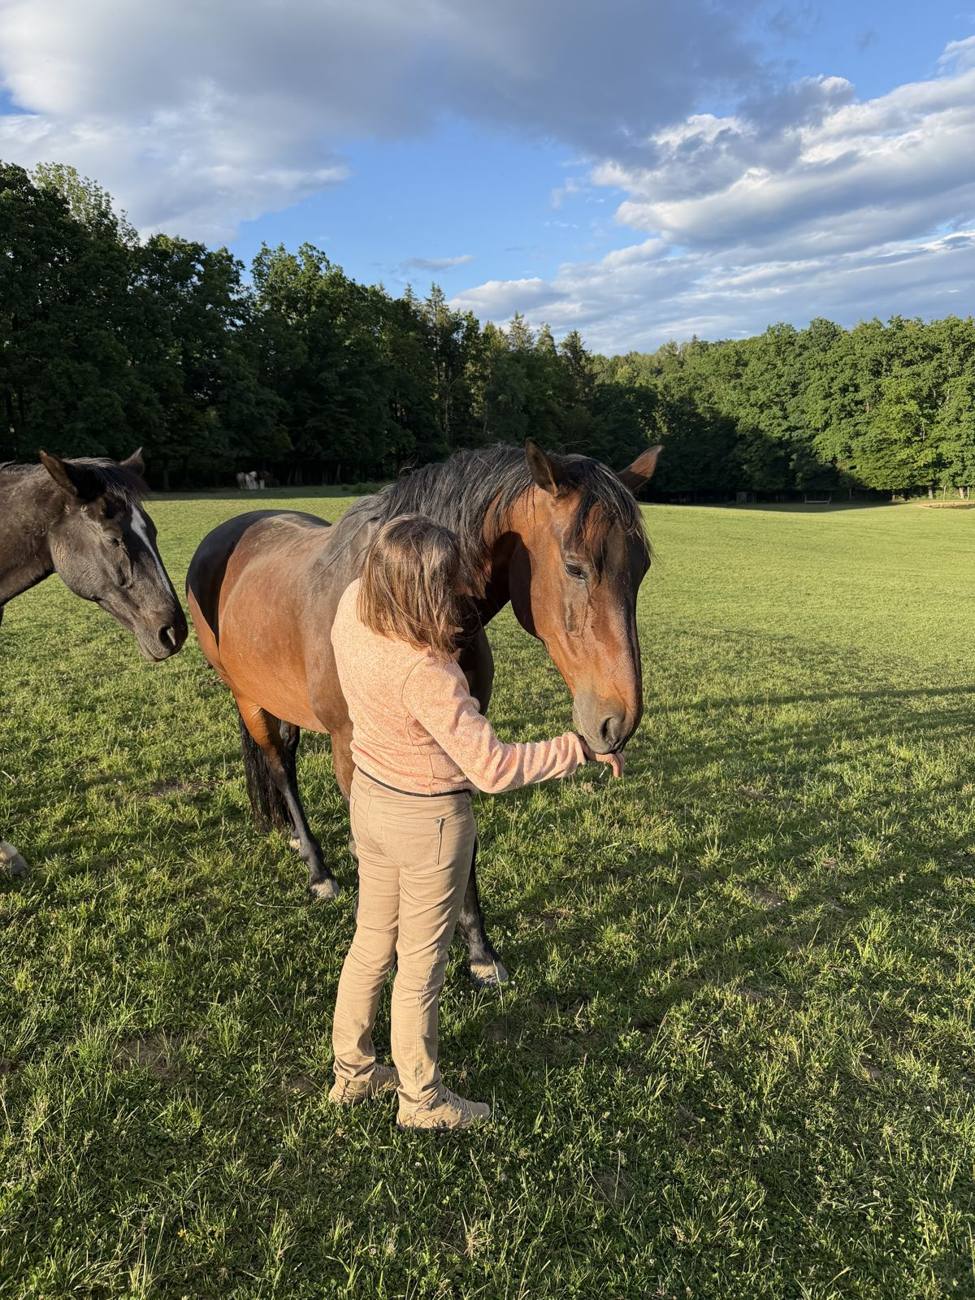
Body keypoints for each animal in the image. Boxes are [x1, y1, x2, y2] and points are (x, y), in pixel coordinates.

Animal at [186, 440, 660, 984]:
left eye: (642, 570)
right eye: (575, 567)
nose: (616, 722)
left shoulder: (461, 743)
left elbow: (463, 851)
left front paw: (480, 953)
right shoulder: (352, 752)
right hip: (248, 700)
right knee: (280, 768)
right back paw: (319, 870)